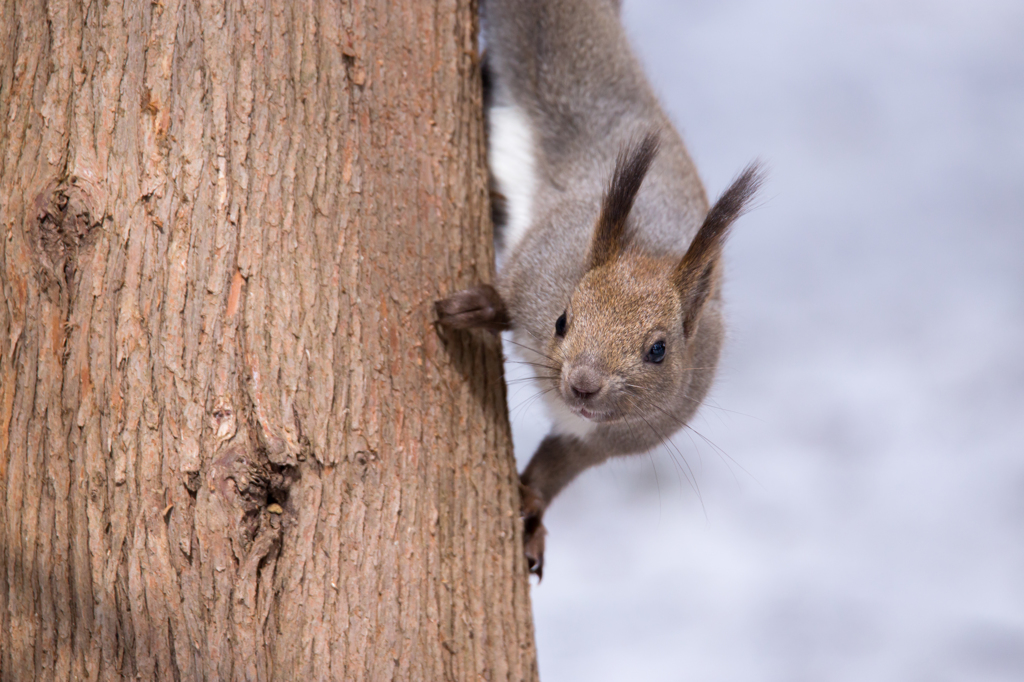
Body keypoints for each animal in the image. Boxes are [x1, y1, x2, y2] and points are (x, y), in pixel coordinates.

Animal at [436, 0, 765, 577]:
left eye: (658, 350)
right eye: (562, 320)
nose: (584, 385)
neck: (648, 248)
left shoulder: (617, 436)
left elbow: (559, 463)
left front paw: (532, 507)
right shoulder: (541, 265)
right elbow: (510, 294)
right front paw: (479, 307)